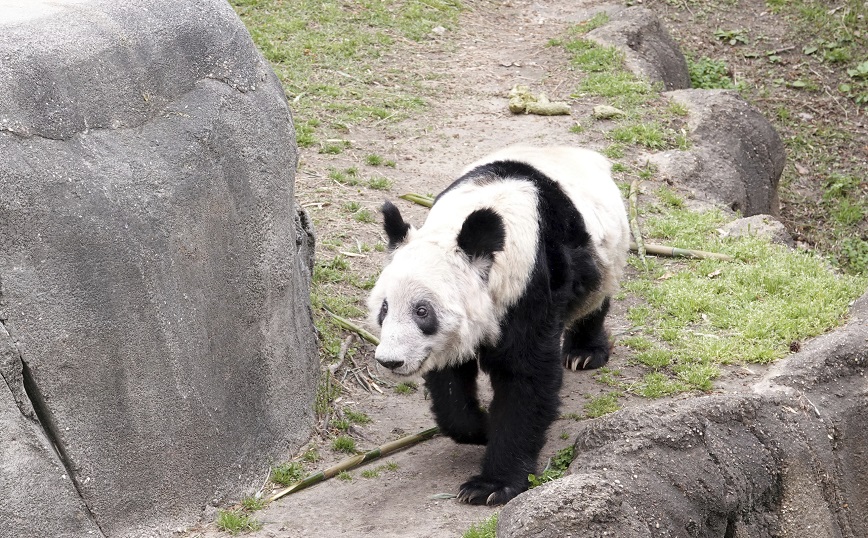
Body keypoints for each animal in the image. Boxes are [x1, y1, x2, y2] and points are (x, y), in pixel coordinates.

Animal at [368, 144, 632, 504]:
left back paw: (584, 353)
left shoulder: (527, 284)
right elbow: (449, 383)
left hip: (605, 251)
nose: (390, 361)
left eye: (422, 311)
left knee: (595, 296)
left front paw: (491, 486)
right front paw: (480, 428)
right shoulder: (442, 341)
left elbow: (525, 377)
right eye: (384, 308)